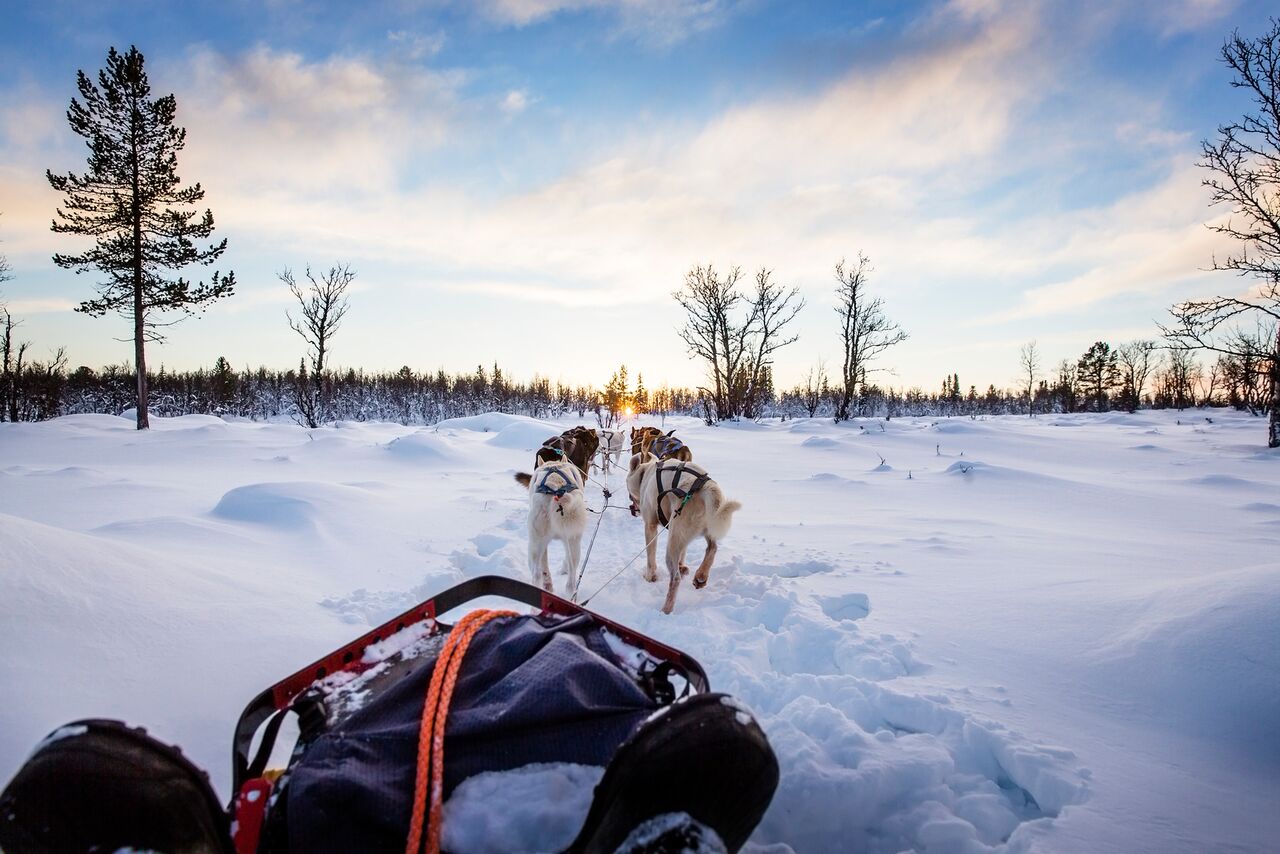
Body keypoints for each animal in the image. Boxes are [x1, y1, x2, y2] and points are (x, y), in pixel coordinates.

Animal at [627, 453, 742, 614]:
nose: (632, 508)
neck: (646, 474)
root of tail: (706, 487)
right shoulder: (682, 537)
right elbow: (684, 552)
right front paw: (683, 567)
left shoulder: (650, 527)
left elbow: (651, 558)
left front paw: (650, 577)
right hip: (699, 530)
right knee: (712, 548)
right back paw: (701, 576)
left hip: (672, 543)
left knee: (675, 579)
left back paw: (666, 609)